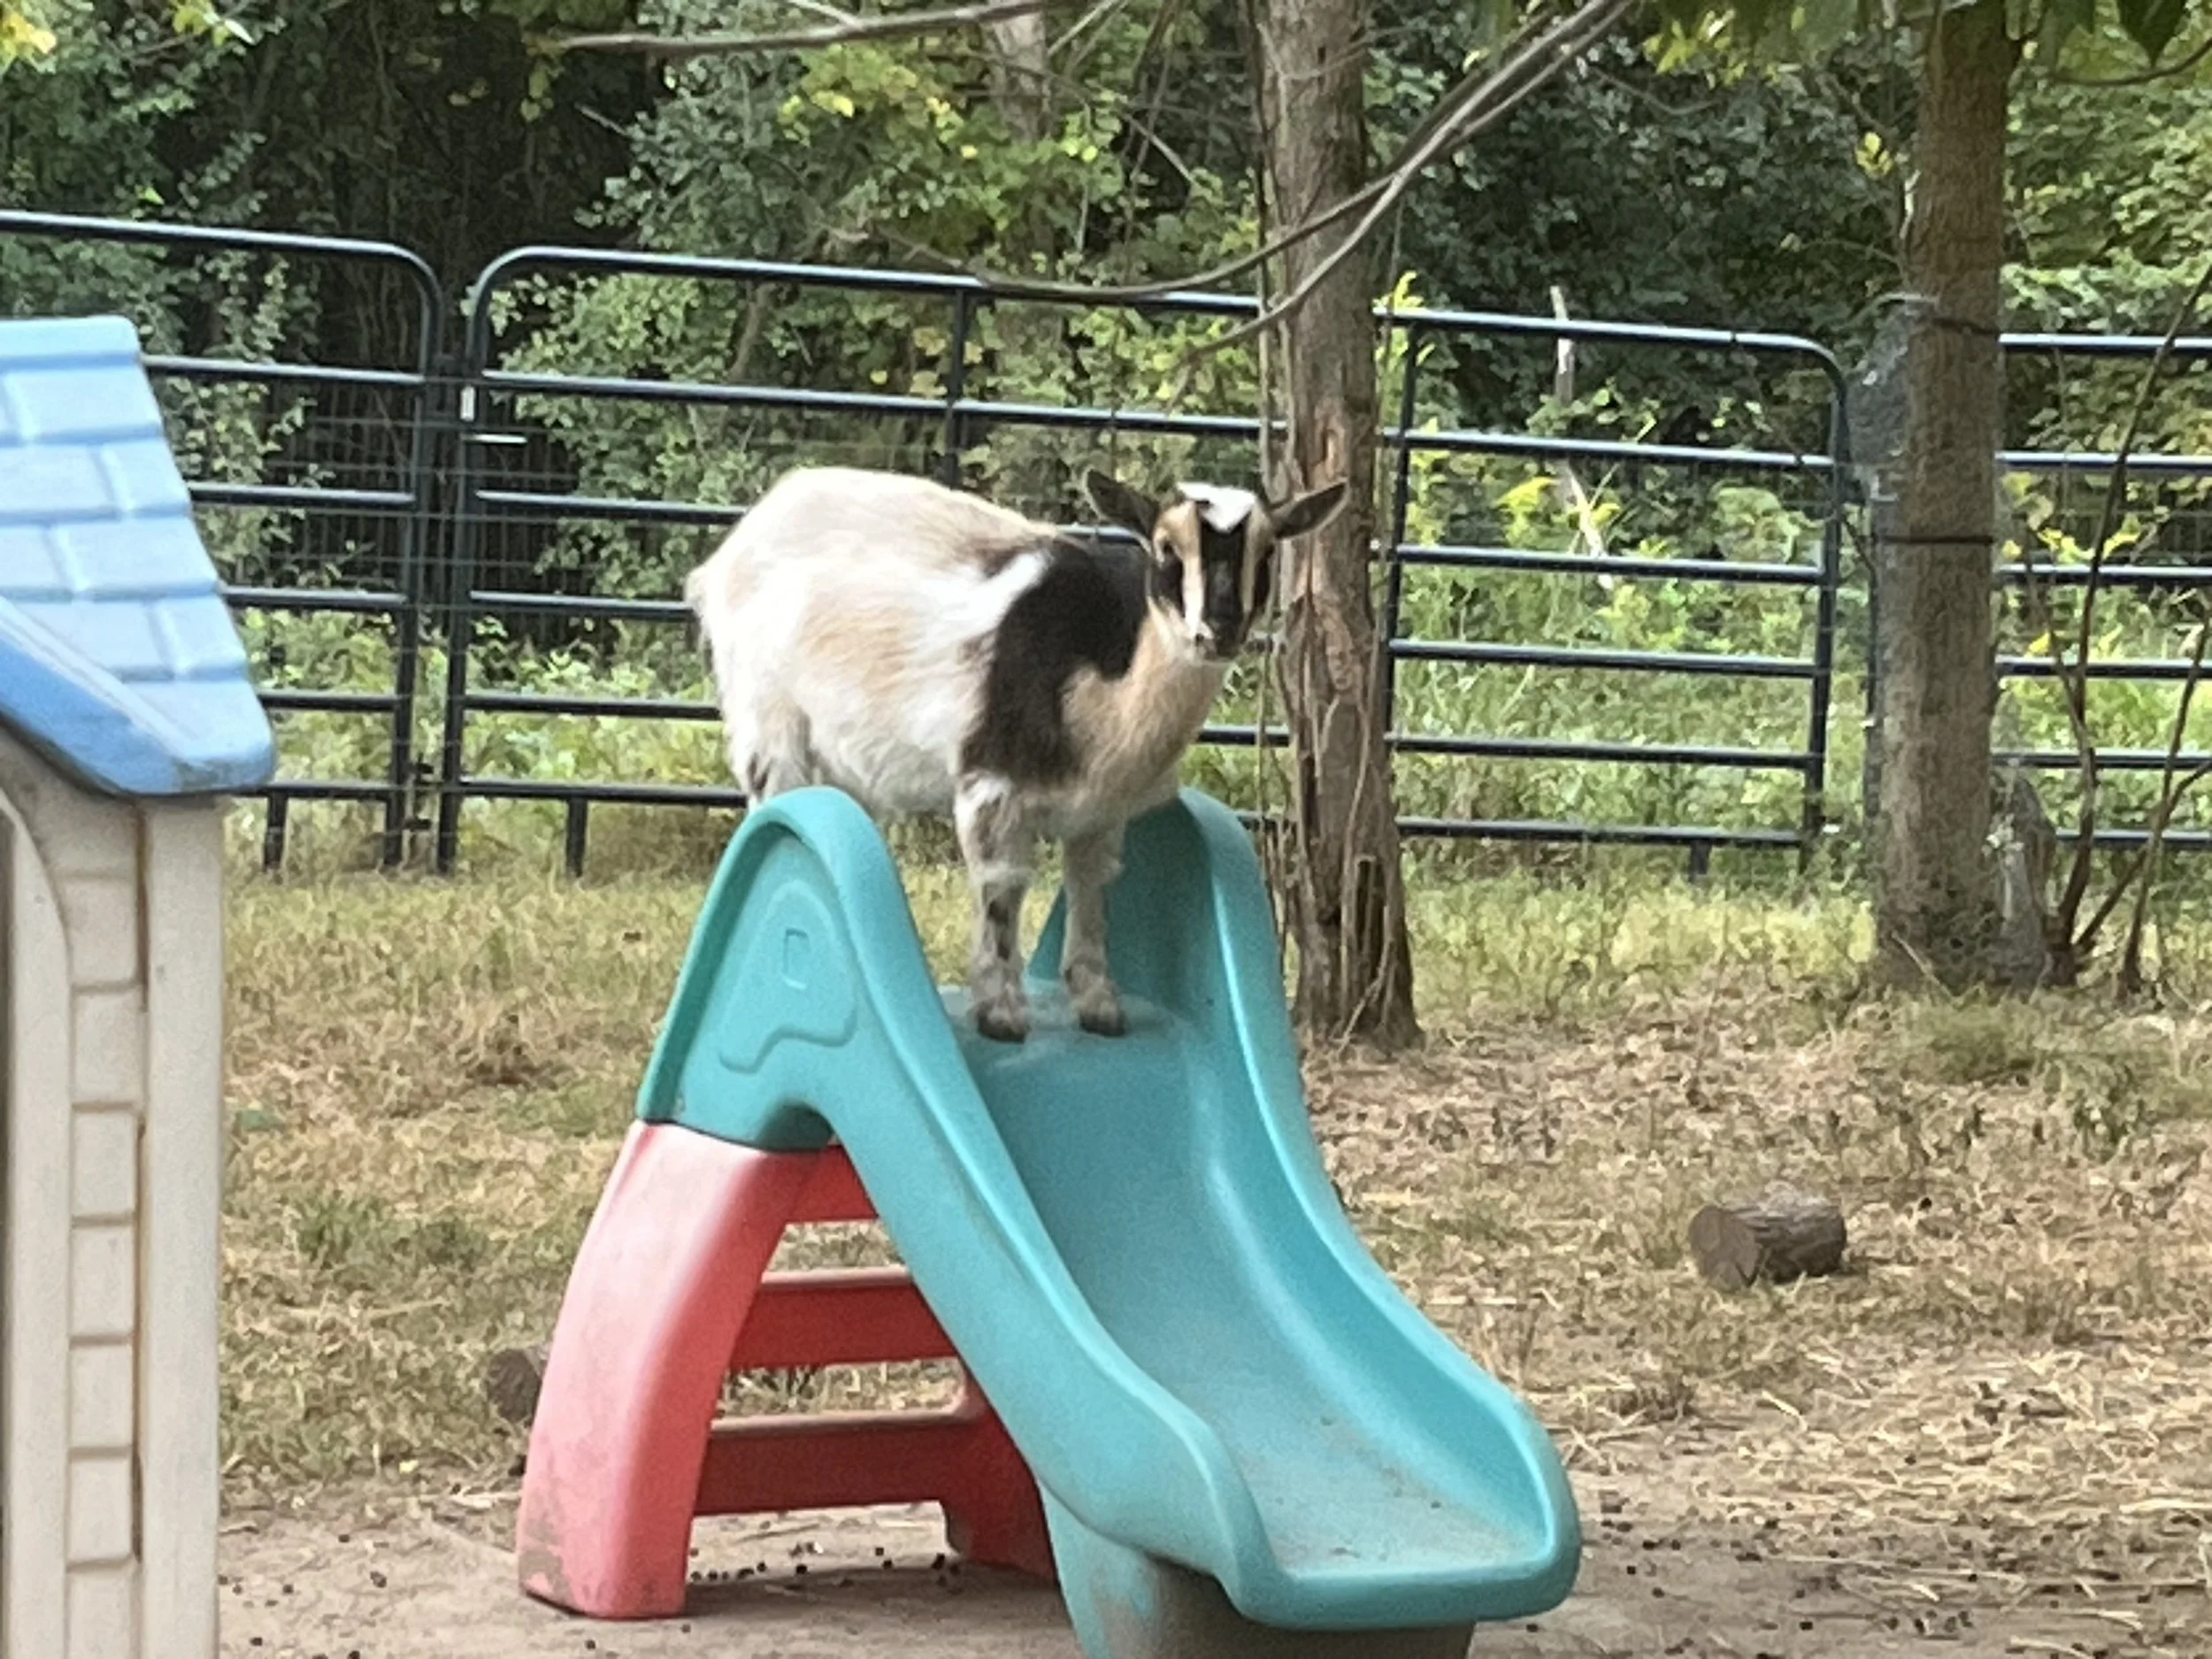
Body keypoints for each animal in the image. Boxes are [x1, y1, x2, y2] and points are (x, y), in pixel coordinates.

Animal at [686, 463, 1347, 1042]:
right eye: (1165, 548)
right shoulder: (993, 780)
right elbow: (1002, 888)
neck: (1109, 679)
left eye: (1268, 552)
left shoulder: (1103, 810)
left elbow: (1090, 887)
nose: (1220, 629)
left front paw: (1098, 1004)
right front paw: (1001, 1012)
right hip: (764, 715)